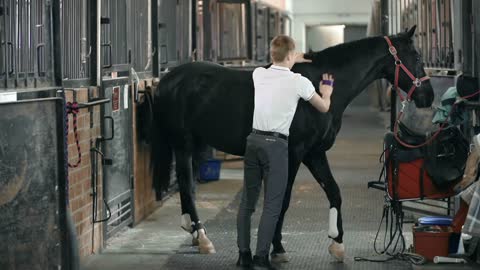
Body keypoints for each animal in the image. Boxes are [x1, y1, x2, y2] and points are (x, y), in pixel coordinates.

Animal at [144, 26, 434, 260]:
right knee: (186, 185)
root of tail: (167, 80)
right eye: (418, 57)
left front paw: (337, 244)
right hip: (182, 144)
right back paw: (203, 237)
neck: (319, 87)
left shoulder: (315, 153)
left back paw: (195, 234)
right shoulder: (294, 153)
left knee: (188, 186)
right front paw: (278, 248)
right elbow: (283, 198)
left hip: (194, 146)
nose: (428, 96)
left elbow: (334, 191)